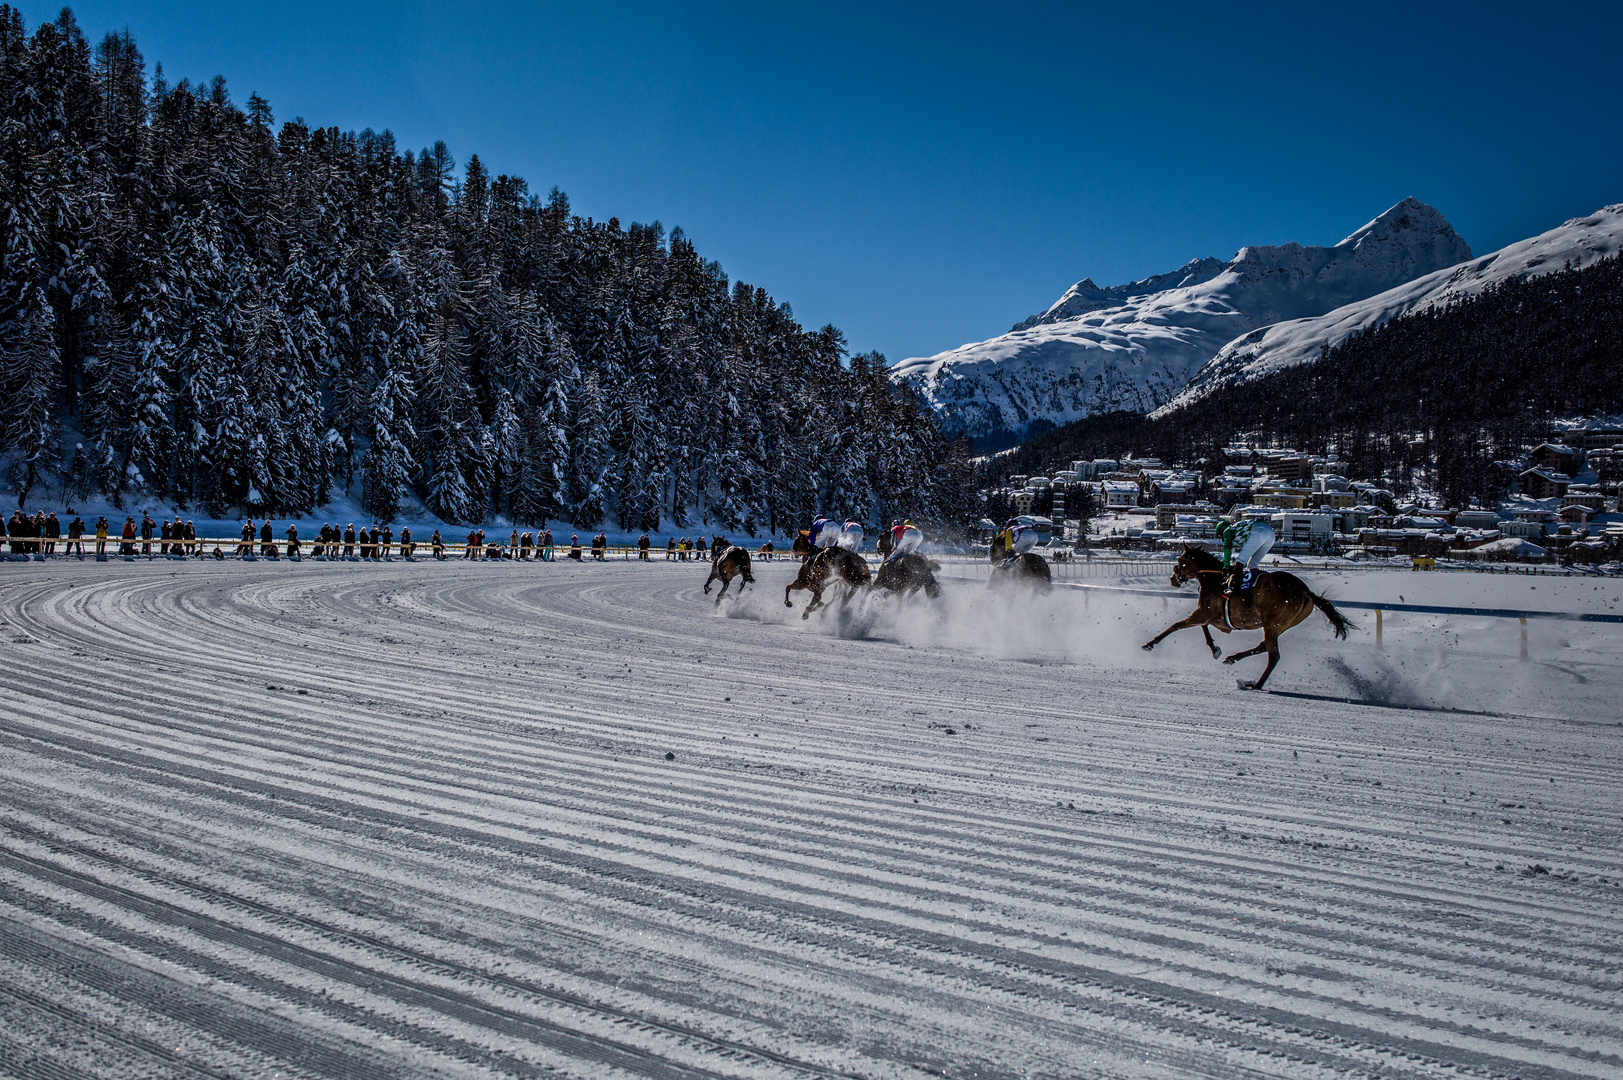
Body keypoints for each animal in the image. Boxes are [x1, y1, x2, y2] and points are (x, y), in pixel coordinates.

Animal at [1142, 548, 1356, 691]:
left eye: (1181, 559)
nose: (1173, 578)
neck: (1214, 579)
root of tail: (1305, 591)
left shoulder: (1204, 612)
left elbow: (1177, 625)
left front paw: (1150, 644)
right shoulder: (1216, 619)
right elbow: (1204, 628)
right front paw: (1215, 649)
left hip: (1273, 623)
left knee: (1273, 655)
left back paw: (1256, 684)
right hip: (1281, 625)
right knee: (1264, 646)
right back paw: (1233, 659)